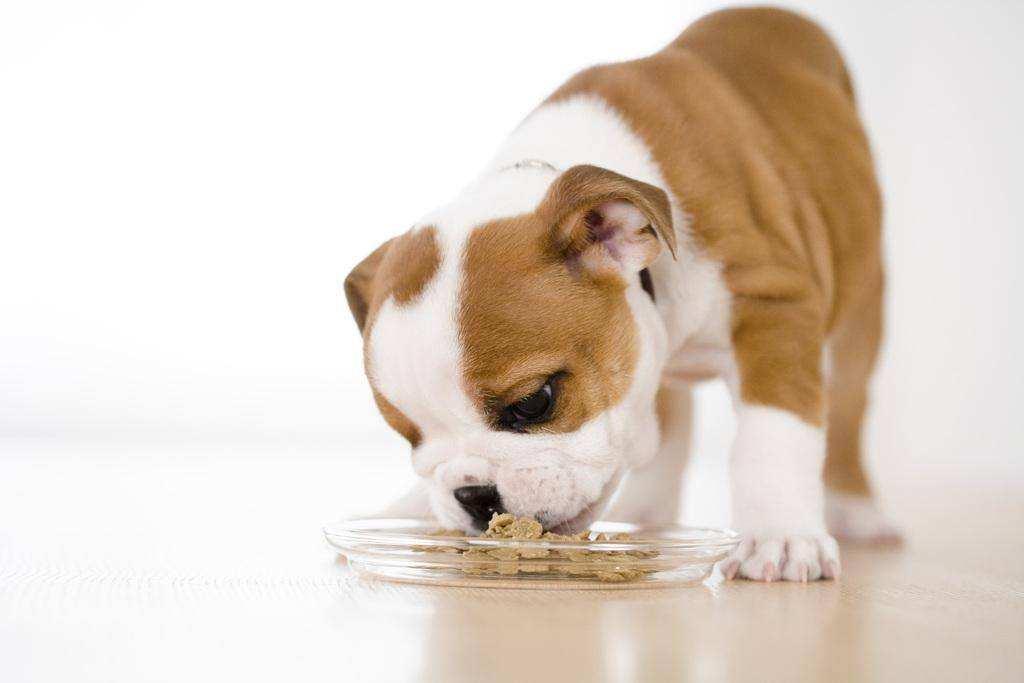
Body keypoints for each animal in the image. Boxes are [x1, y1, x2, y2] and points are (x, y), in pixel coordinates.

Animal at [339, 6, 892, 581]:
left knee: (848, 405)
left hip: (860, 316)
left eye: (534, 402)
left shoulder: (773, 308)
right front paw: (411, 508)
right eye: (409, 436)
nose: (474, 495)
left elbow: (774, 432)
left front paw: (780, 534)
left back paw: (855, 507)